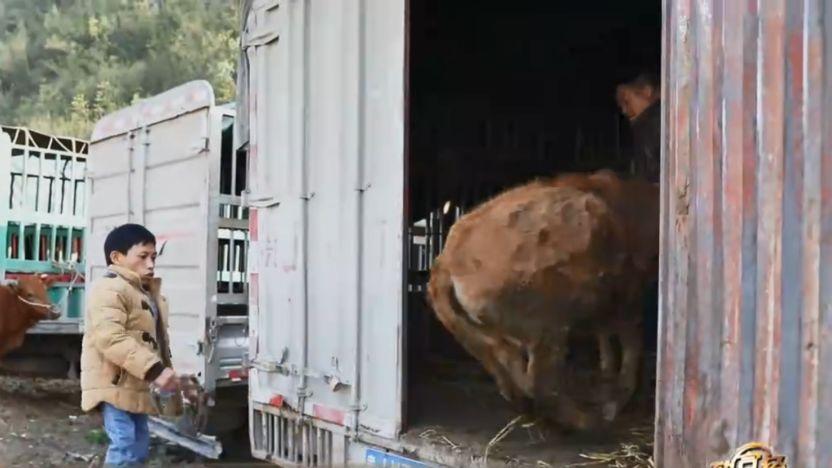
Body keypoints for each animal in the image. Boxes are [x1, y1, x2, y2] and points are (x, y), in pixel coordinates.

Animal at [428, 170, 656, 430]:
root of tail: (447, 261)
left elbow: (607, 339)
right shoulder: (628, 295)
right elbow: (631, 342)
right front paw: (617, 399)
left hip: (481, 338)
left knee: (509, 372)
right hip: (546, 327)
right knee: (540, 383)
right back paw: (588, 420)